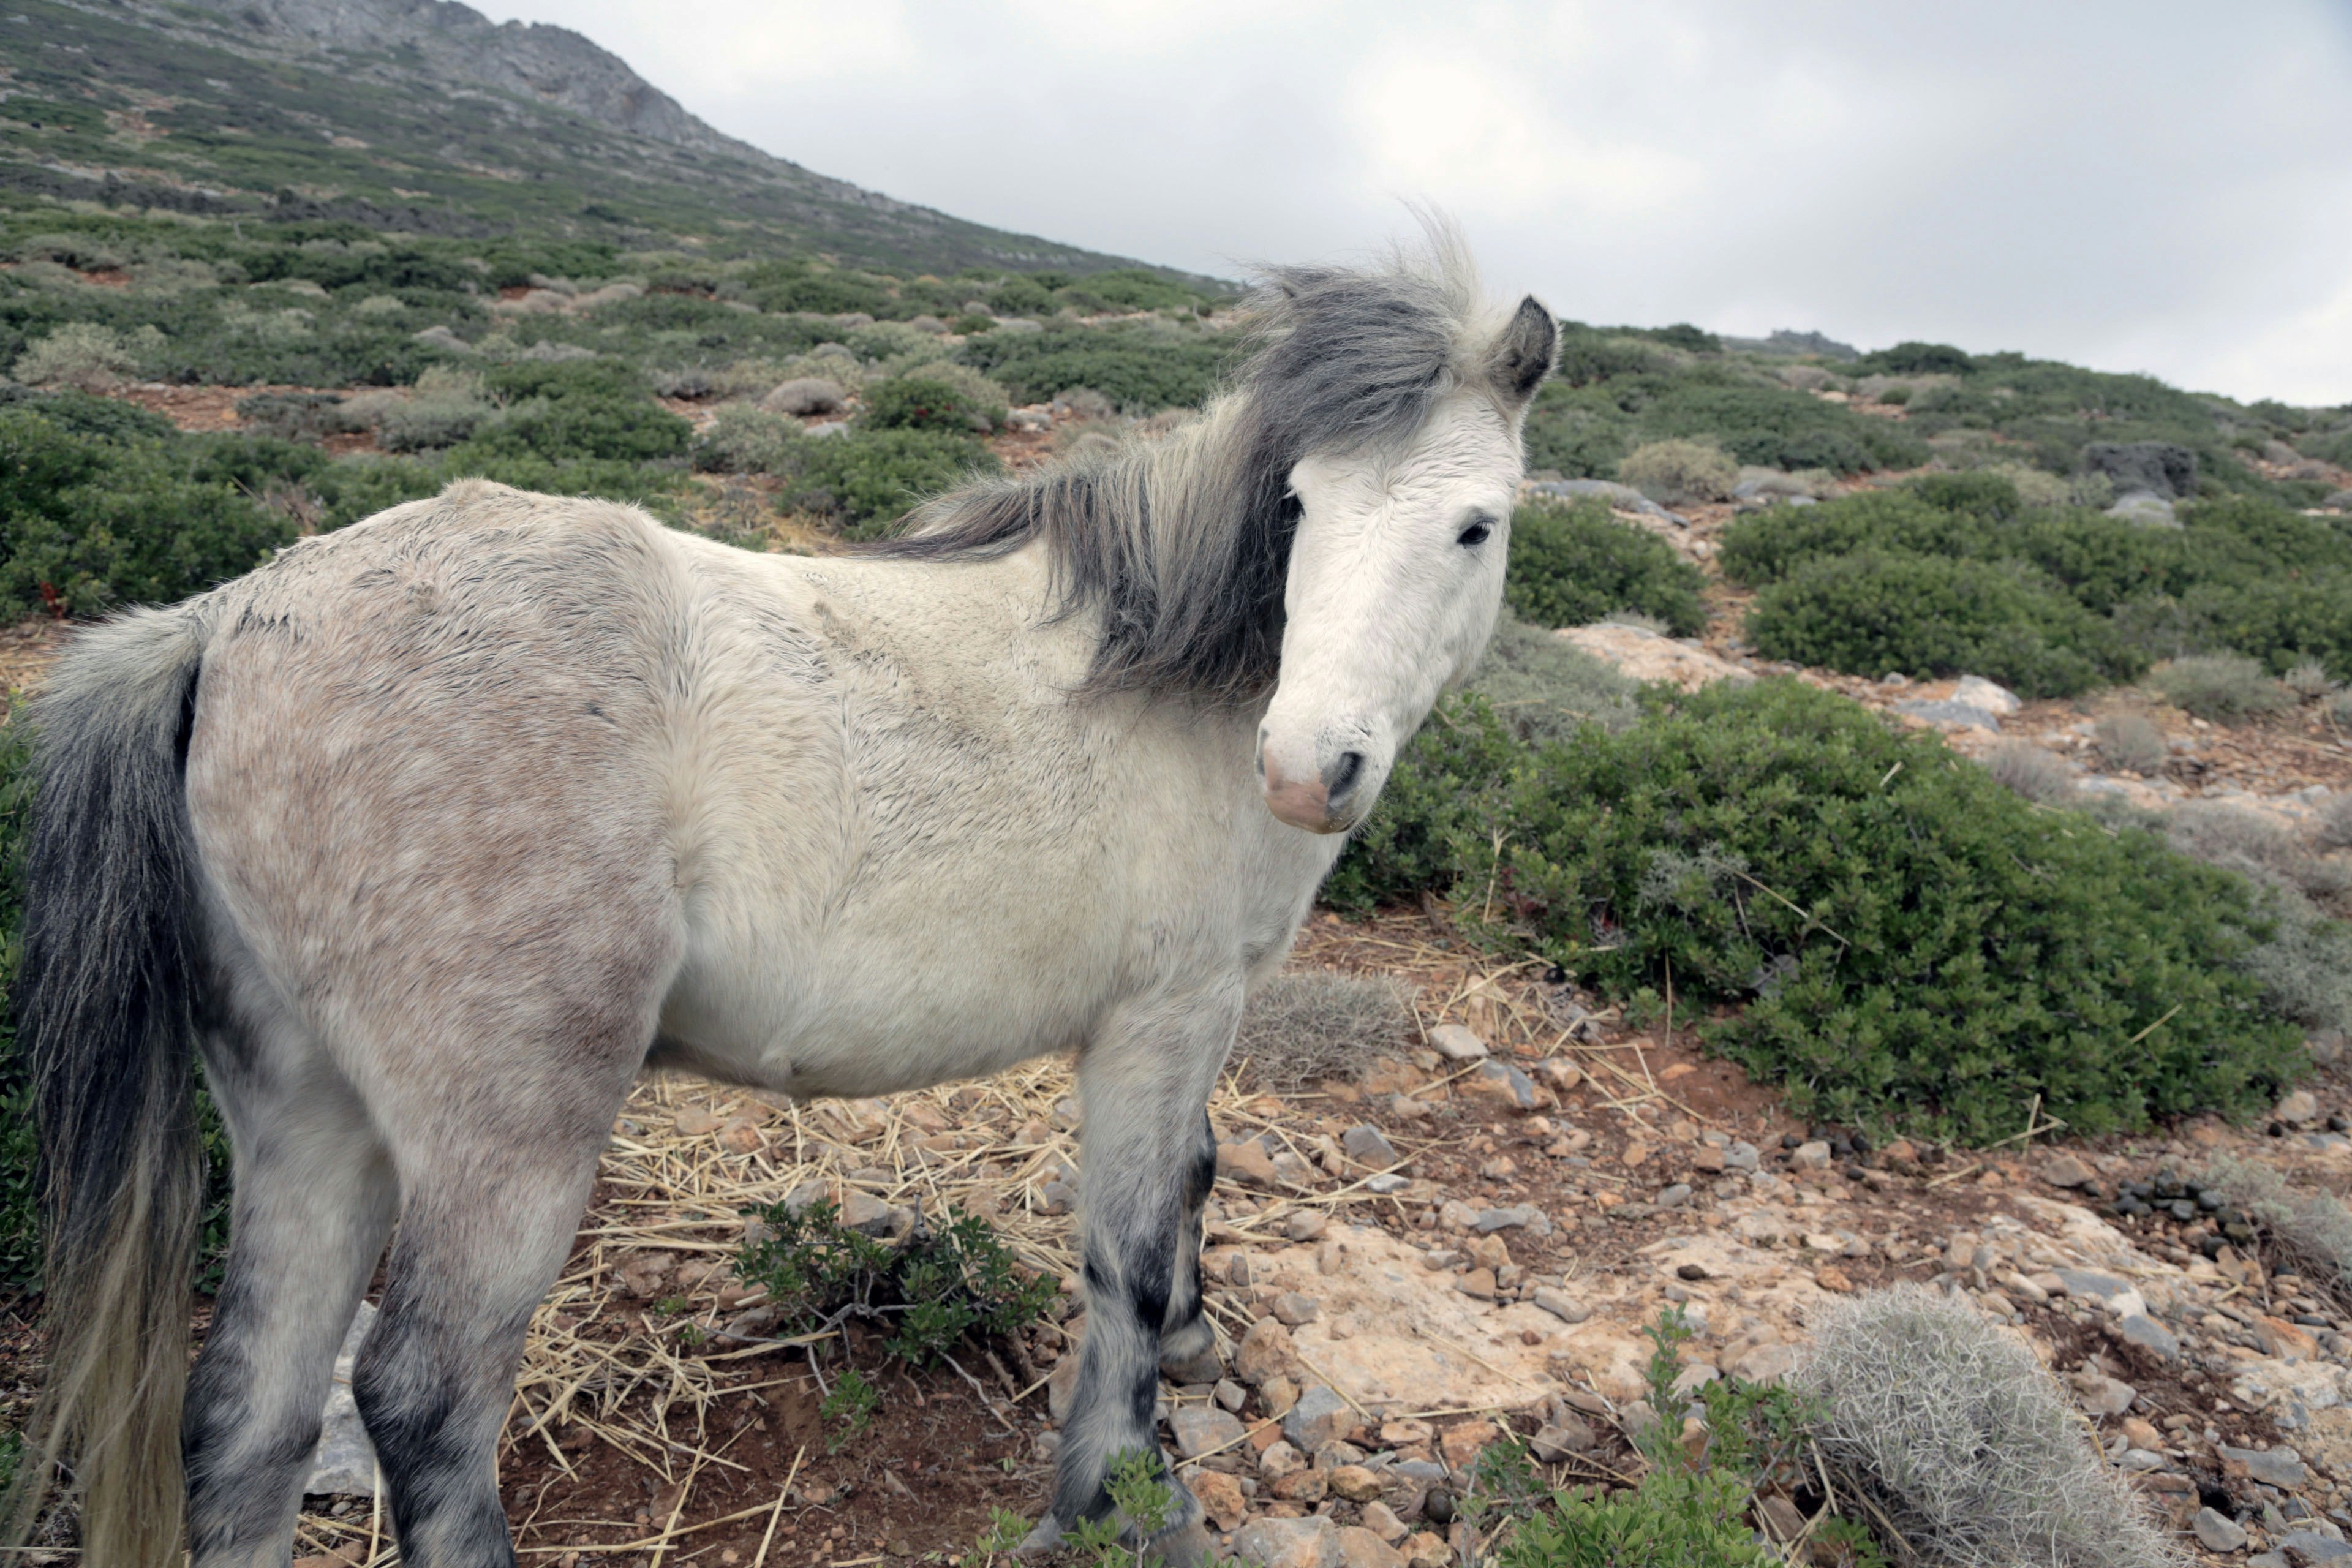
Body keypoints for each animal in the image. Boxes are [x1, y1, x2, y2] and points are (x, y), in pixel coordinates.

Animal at [7, 232, 1554, 1567]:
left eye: (1474, 527)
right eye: (1299, 508)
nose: (1310, 765)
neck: (1166, 670)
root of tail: (222, 620)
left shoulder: (1200, 1023)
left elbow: (1192, 1181)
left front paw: (1186, 1347)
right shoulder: (1164, 1018)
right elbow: (1123, 1253)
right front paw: (1119, 1490)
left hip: (307, 1116)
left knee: (247, 1421)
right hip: (503, 1139)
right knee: (423, 1398)